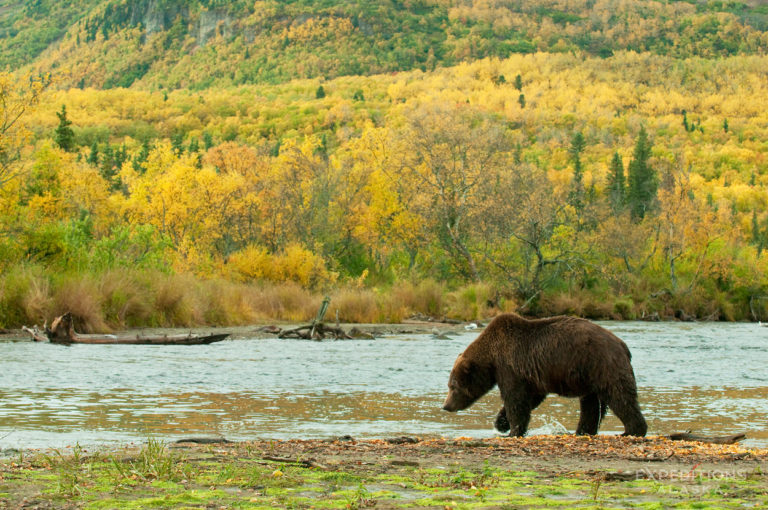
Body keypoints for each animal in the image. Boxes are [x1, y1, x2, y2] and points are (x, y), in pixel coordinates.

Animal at [442, 313, 647, 437]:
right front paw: (502, 423)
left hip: (602, 365)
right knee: (591, 404)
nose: (446, 406)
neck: (491, 358)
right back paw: (583, 431)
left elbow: (515, 399)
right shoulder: (531, 377)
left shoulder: (509, 367)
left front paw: (512, 430)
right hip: (589, 375)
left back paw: (631, 430)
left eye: (453, 386)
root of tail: (622, 344)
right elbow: (530, 399)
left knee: (619, 396)